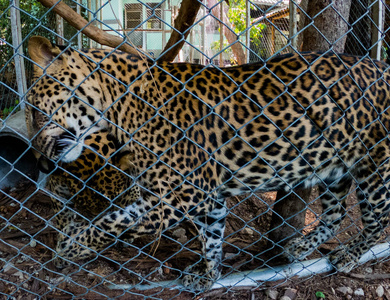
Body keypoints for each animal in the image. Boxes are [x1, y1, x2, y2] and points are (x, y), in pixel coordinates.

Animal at [25, 35, 390, 290]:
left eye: (34, 110)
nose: (40, 164)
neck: (119, 105)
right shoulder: (206, 196)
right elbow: (211, 237)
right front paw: (208, 274)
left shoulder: (176, 196)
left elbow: (112, 224)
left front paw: (68, 248)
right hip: (333, 168)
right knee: (336, 215)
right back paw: (301, 245)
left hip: (376, 168)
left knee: (378, 220)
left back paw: (350, 254)